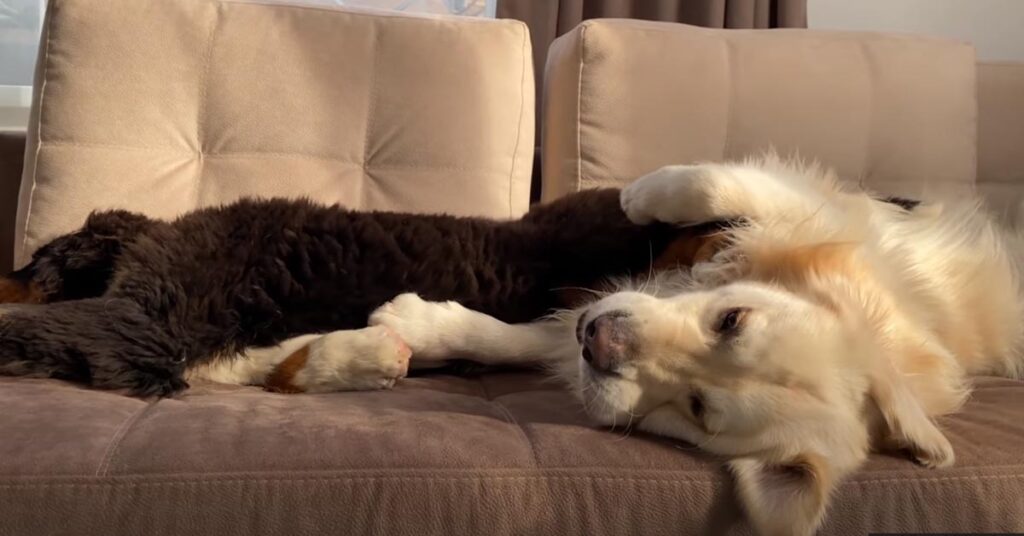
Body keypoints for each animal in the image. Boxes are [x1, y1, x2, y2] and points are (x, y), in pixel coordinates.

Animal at [362, 155, 1024, 536]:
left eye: (698, 409)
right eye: (731, 320)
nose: (598, 339)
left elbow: (536, 343)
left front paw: (418, 326)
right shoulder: (823, 221)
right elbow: (717, 184)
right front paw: (642, 195)